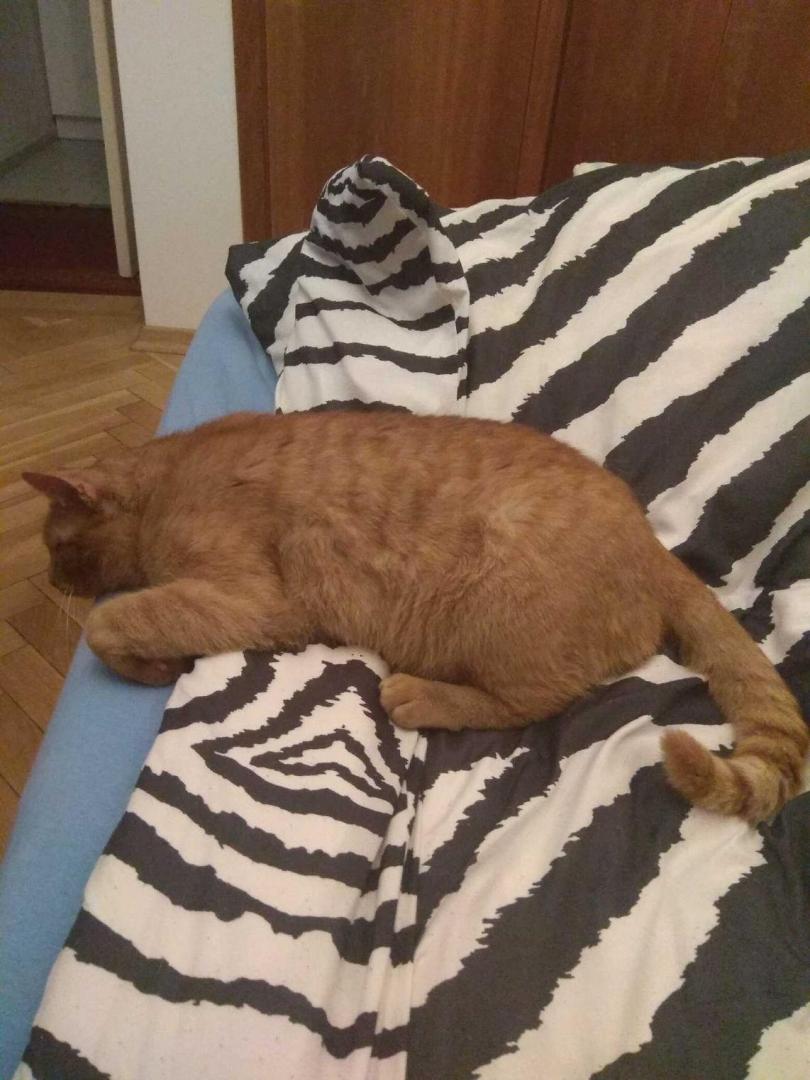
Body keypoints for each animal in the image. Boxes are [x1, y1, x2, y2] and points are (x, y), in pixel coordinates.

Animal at [24, 409, 807, 822]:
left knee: (532, 702)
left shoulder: (248, 596)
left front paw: (148, 663)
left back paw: (417, 694)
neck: (168, 482)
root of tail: (654, 546)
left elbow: (110, 624)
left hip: (500, 615)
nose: (54, 579)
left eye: (56, 545)